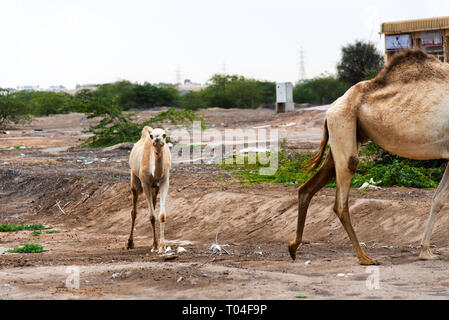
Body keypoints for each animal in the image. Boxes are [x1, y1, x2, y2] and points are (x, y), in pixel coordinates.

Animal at [288, 47, 448, 262]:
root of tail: (329, 109)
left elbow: (438, 199)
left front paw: (426, 251)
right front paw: (426, 252)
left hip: (343, 135)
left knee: (307, 188)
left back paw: (293, 247)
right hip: (343, 123)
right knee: (342, 197)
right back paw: (364, 257)